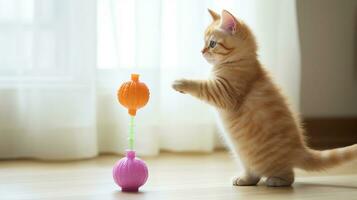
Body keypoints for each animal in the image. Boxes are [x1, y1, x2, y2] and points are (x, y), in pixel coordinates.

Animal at [171, 9, 354, 188]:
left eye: (212, 44)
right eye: (204, 43)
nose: (201, 51)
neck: (239, 61)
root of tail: (299, 150)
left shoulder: (223, 92)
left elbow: (202, 86)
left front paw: (181, 83)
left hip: (265, 161)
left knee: (289, 176)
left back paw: (276, 181)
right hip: (243, 156)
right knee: (255, 174)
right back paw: (244, 179)